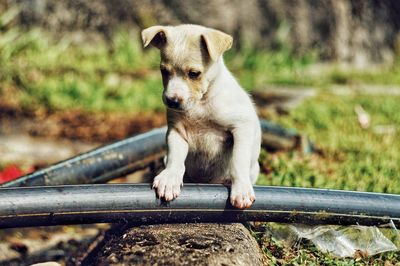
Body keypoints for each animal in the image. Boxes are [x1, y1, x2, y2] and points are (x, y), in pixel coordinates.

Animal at [142, 23, 260, 209]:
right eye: (164, 71)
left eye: (194, 73)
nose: (171, 101)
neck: (201, 105)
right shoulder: (177, 133)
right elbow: (175, 158)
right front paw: (169, 179)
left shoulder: (242, 127)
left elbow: (238, 161)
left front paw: (241, 189)